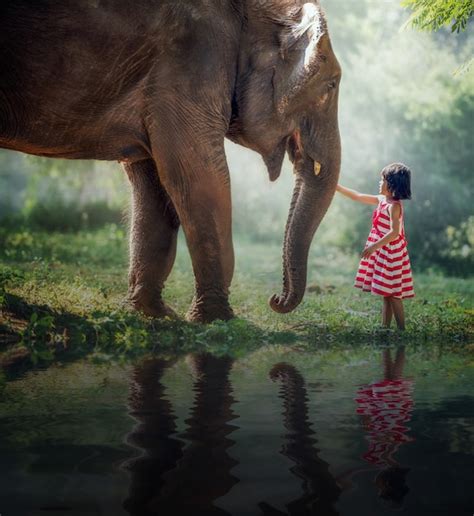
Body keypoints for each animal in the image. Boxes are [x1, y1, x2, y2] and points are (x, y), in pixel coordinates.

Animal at [0, 1, 340, 322]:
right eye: (332, 86)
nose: (275, 300)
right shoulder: (193, 60)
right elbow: (200, 177)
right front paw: (218, 320)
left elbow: (155, 186)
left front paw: (155, 314)